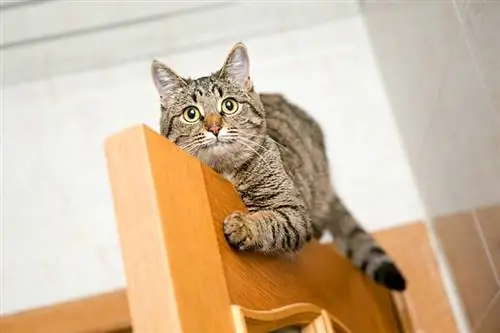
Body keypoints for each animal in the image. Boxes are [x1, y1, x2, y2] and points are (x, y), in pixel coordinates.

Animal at [149, 41, 406, 290]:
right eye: (191, 113)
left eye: (229, 105)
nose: (214, 127)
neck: (225, 171)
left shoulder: (294, 212)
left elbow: (271, 221)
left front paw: (245, 225)